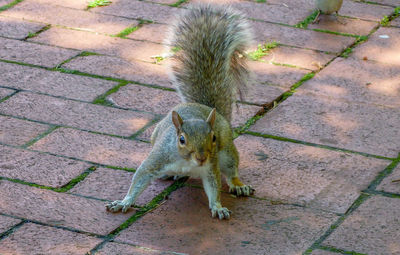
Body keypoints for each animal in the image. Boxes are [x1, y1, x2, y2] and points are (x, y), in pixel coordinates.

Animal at [106, 3, 255, 219]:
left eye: (213, 138)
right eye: (181, 139)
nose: (201, 157)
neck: (188, 163)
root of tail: (207, 108)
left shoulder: (211, 167)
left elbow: (214, 187)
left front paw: (217, 207)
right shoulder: (158, 158)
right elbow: (140, 177)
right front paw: (124, 201)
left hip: (227, 151)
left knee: (231, 170)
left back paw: (238, 185)